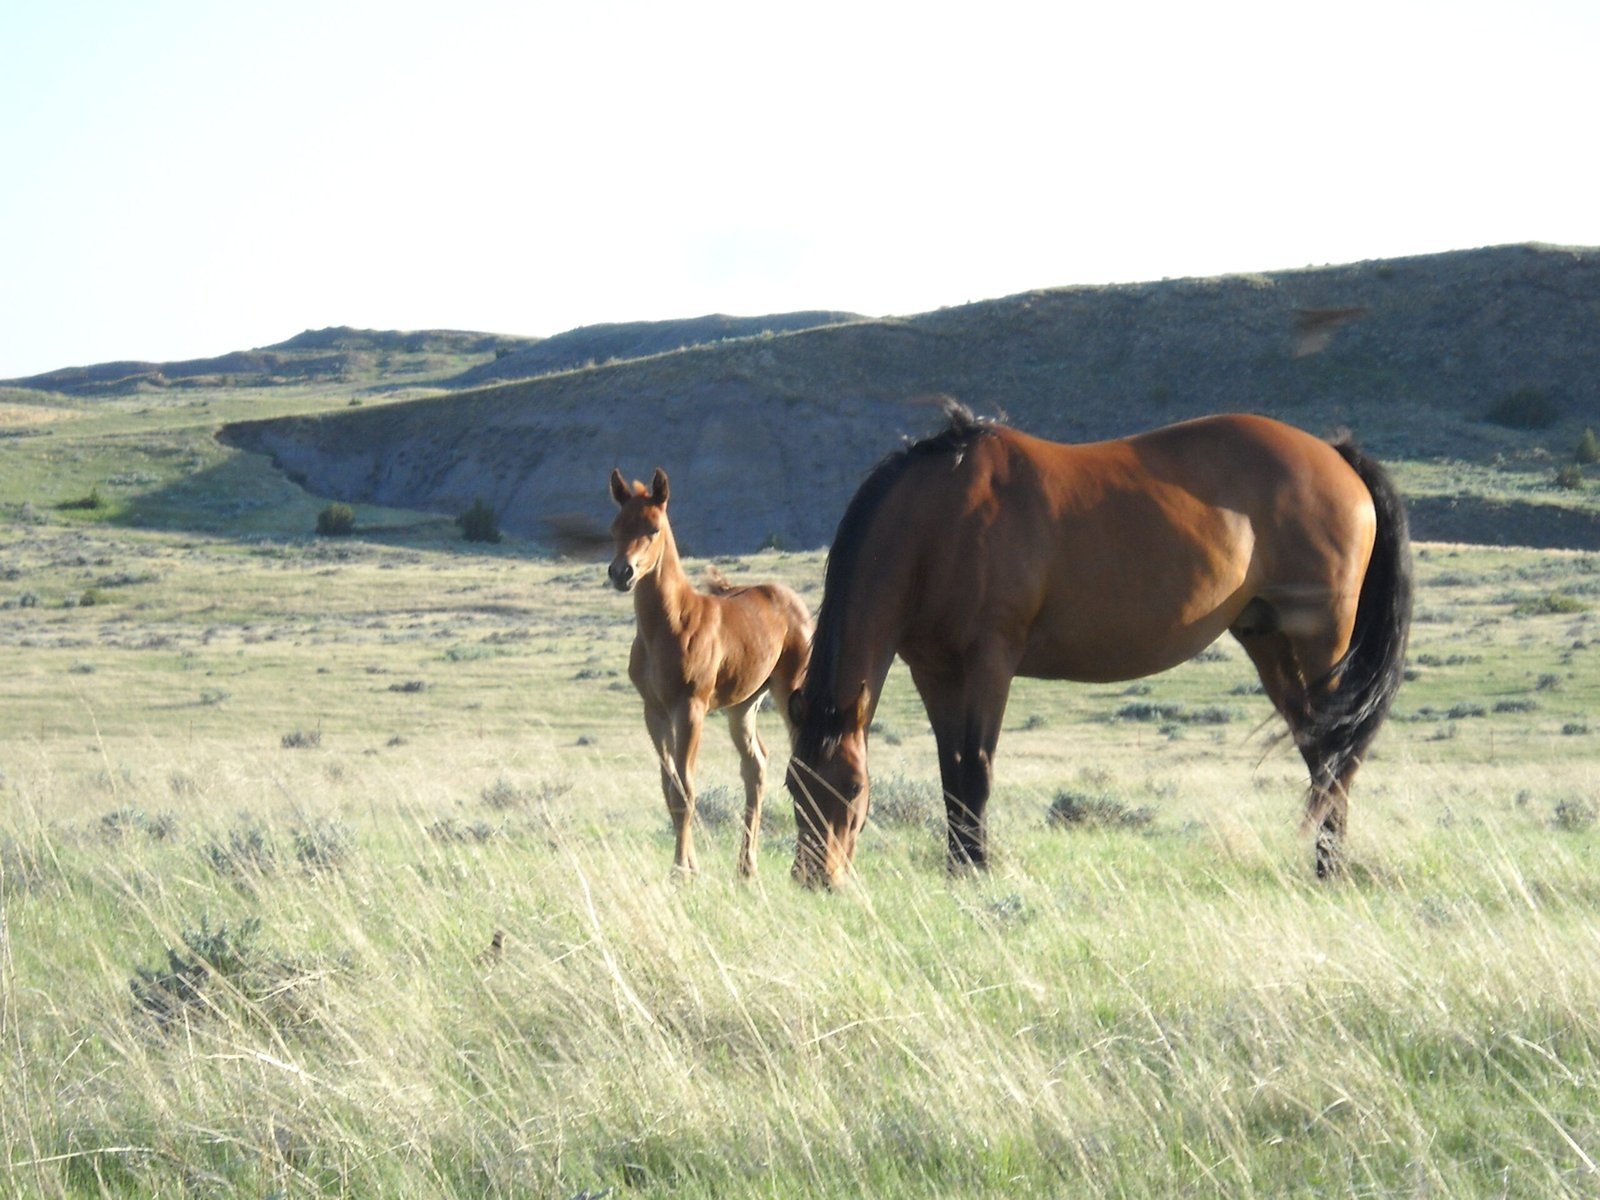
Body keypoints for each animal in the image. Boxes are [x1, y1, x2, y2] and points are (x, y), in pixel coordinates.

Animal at [609, 467, 813, 877]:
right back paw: (746, 867)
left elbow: (686, 787)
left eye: (653, 528)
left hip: (789, 690)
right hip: (744, 704)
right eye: (615, 527)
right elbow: (669, 786)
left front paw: (680, 870)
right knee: (755, 767)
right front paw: (690, 864)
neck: (667, 625)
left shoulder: (691, 707)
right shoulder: (654, 710)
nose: (621, 573)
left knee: (800, 764)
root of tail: (793, 602)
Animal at [785, 405, 1412, 887]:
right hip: (1271, 643)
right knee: (1318, 751)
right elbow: (951, 774)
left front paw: (977, 872)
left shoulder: (989, 662)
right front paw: (958, 868)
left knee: (1336, 755)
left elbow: (976, 770)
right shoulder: (934, 670)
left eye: (854, 788)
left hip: (1321, 643)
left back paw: (1330, 871)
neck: (939, 520)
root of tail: (1335, 454)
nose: (816, 879)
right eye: (794, 783)